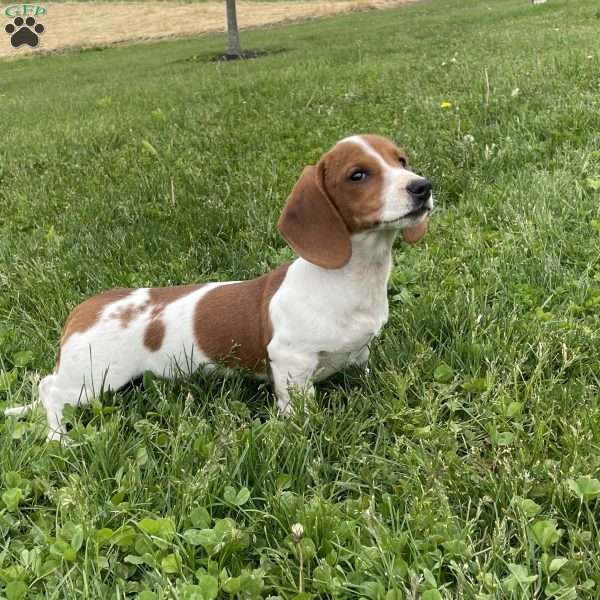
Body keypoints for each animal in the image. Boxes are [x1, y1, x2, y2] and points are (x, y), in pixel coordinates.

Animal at [7, 135, 434, 440]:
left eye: (401, 160)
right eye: (357, 175)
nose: (423, 187)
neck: (349, 278)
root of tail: (84, 310)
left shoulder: (360, 355)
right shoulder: (291, 363)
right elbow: (298, 409)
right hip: (93, 379)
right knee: (49, 390)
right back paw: (58, 439)